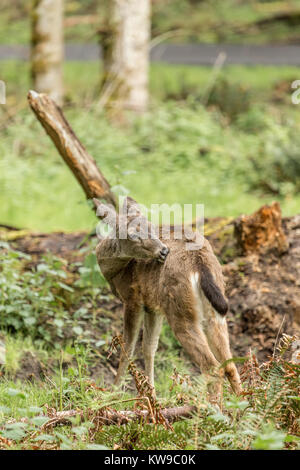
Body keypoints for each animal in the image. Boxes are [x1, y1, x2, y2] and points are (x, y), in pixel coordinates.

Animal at [93, 196, 241, 402]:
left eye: (151, 227)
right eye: (132, 234)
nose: (164, 250)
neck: (115, 273)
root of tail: (199, 262)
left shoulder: (133, 299)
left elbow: (127, 349)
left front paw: (113, 394)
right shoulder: (153, 307)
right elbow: (149, 348)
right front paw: (152, 396)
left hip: (180, 311)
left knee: (211, 367)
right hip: (215, 311)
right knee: (230, 365)